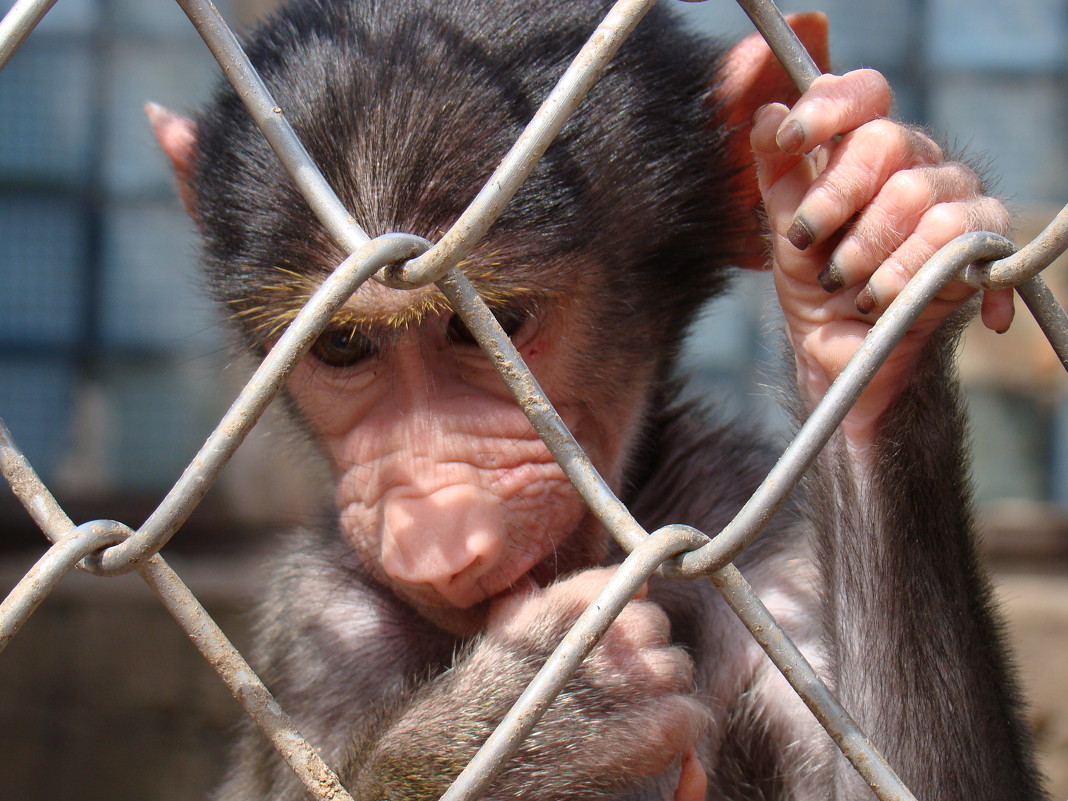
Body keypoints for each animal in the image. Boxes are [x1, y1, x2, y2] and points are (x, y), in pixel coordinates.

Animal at [152, 0, 1042, 798]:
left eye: (491, 325)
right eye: (341, 346)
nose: (436, 529)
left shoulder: (763, 546)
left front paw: (880, 266)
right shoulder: (318, 621)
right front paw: (535, 728)